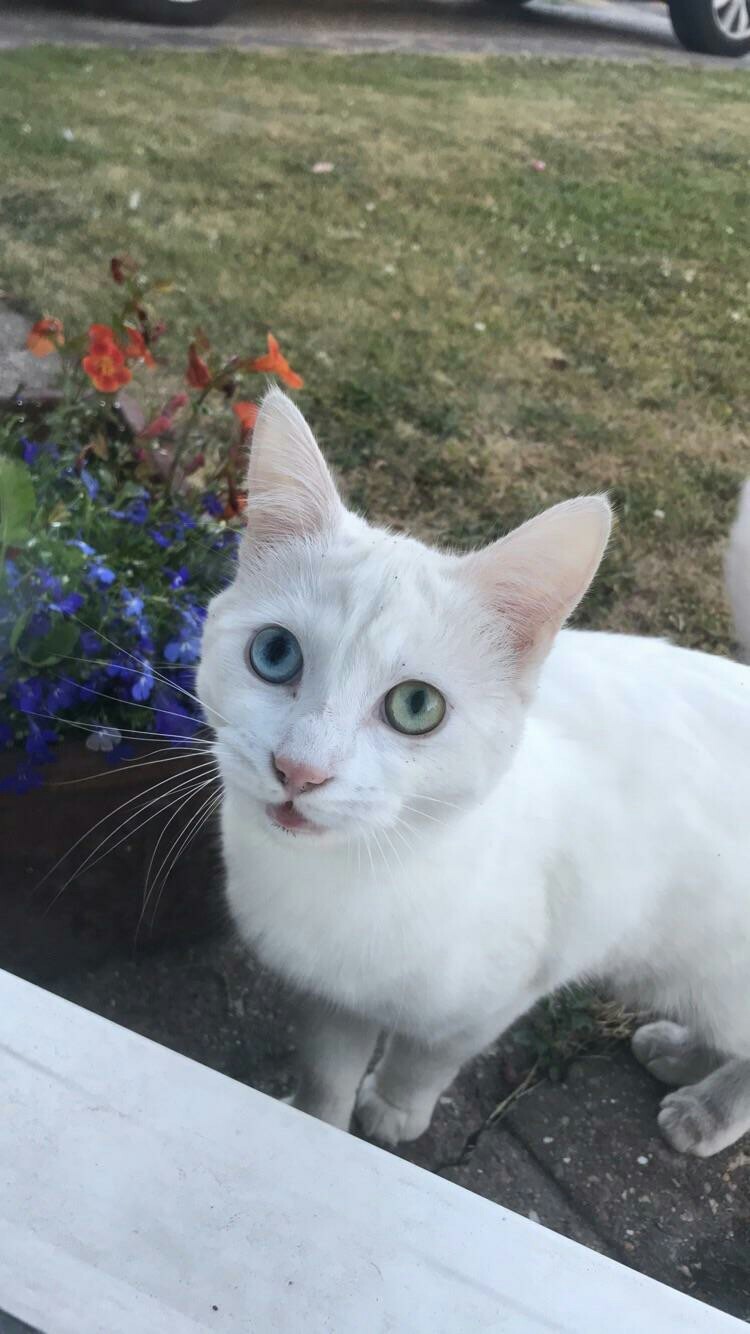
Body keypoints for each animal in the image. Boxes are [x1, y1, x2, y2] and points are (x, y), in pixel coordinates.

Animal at [197, 389, 747, 1157]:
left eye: (416, 706)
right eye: (274, 654)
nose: (299, 769)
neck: (350, 877)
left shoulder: (504, 990)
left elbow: (431, 1055)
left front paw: (395, 1107)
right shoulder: (331, 997)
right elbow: (327, 1068)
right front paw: (319, 1120)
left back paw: (709, 1108)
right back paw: (682, 1053)